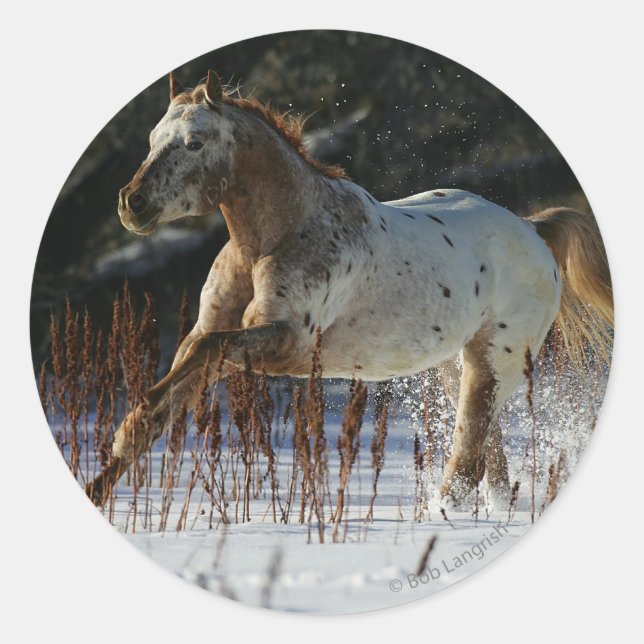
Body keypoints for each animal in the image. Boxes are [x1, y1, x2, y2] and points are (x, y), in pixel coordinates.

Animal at [86, 70, 613, 509]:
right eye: (153, 140)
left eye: (194, 143)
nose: (132, 203)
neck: (275, 238)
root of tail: (533, 229)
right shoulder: (208, 331)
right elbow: (170, 394)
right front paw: (103, 477)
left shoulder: (285, 345)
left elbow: (202, 359)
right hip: (455, 365)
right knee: (490, 460)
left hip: (494, 364)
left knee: (468, 460)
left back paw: (441, 515)